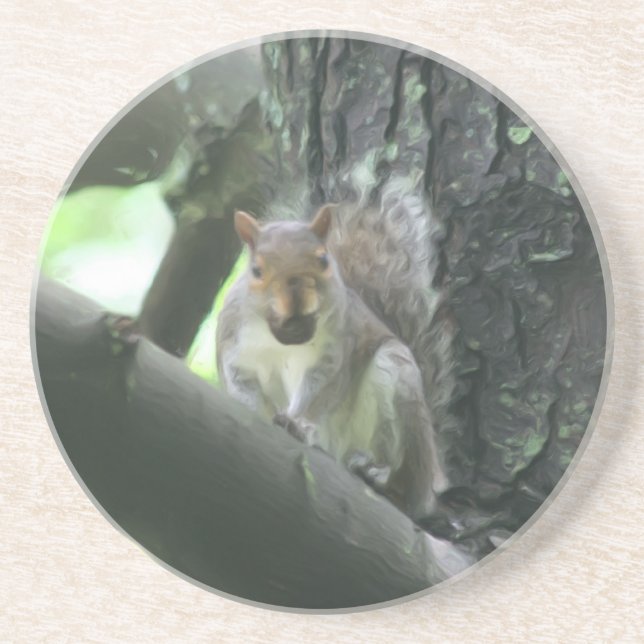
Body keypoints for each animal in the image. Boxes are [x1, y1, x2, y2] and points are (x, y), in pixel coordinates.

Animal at [215, 202, 447, 519]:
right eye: (256, 270)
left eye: (323, 259)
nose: (296, 302)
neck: (283, 339)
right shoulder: (234, 348)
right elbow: (240, 384)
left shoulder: (335, 354)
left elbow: (320, 392)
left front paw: (298, 424)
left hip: (397, 381)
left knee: (407, 487)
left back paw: (381, 475)